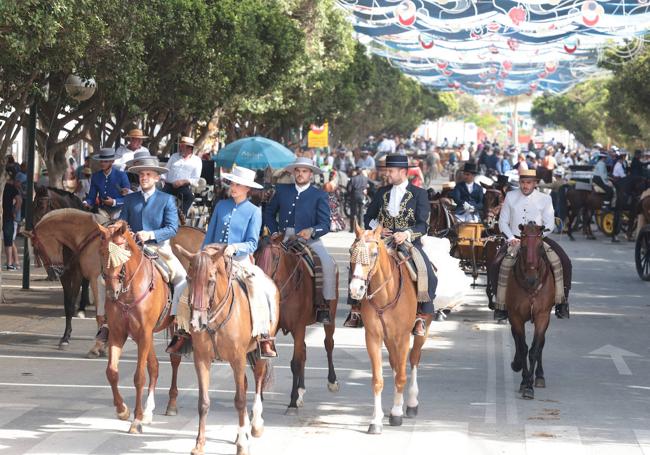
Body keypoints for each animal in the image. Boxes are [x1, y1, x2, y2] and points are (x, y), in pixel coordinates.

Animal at [95, 221, 178, 434]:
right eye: (101, 251)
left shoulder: (144, 333)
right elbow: (112, 372)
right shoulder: (118, 333)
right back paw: (149, 411)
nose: (111, 291)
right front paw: (122, 410)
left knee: (174, 360)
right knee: (154, 366)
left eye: (122, 253)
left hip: (170, 330)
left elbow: (139, 377)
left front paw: (136, 420)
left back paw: (170, 404)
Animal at [175, 244, 278, 455]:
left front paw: (242, 446)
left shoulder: (237, 359)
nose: (196, 322)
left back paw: (255, 426)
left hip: (258, 353)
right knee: (245, 383)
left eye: (211, 281)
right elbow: (204, 402)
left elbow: (240, 400)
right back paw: (242, 433)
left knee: (257, 380)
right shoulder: (202, 359)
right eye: (189, 278)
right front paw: (199, 444)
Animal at [254, 235, 340, 414]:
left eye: (275, 257)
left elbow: (295, 363)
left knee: (328, 344)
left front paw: (292, 402)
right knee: (304, 352)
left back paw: (332, 381)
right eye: (256, 254)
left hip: (330, 319)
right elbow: (265, 360)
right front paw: (260, 396)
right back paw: (301, 389)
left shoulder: (299, 326)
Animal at [346, 224, 432, 434]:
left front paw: (397, 413)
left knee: (413, 360)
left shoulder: (403, 337)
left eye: (374, 253)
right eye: (351, 251)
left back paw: (410, 403)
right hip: (389, 338)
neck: (385, 293)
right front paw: (376, 420)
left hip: (420, 331)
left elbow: (401, 375)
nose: (356, 289)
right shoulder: (373, 338)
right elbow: (378, 380)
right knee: (394, 363)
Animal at [504, 223, 556, 400]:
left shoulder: (543, 316)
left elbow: (534, 349)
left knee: (540, 344)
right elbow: (523, 347)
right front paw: (524, 381)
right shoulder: (515, 316)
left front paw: (529, 386)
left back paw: (538, 376)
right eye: (523, 247)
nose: (532, 279)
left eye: (540, 246)